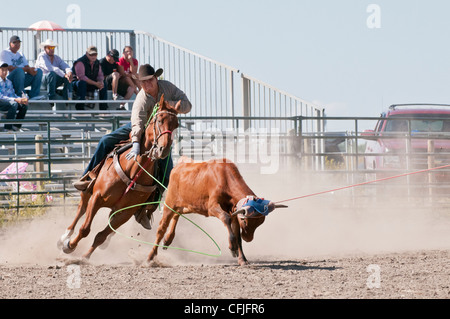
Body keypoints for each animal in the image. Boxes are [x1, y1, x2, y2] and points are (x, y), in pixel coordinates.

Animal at [58, 94, 179, 260]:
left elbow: (100, 236)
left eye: (176, 125)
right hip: (88, 190)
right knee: (81, 208)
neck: (134, 171)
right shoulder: (97, 197)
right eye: (159, 120)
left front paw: (85, 257)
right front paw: (69, 246)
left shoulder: (125, 212)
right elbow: (85, 228)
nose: (163, 149)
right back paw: (65, 236)